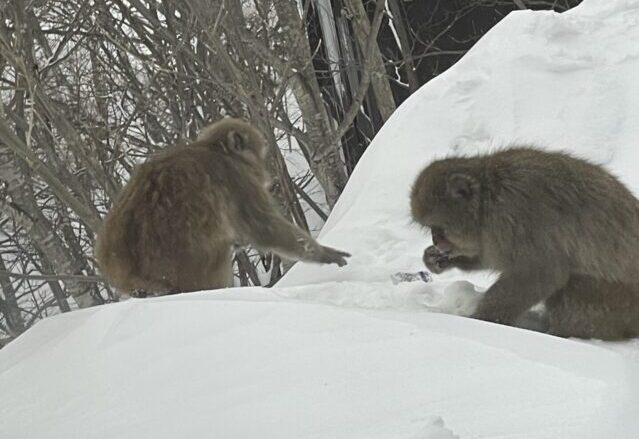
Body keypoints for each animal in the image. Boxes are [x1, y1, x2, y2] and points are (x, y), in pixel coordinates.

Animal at [96, 117, 350, 298]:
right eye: (258, 153)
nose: (268, 174)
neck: (215, 150)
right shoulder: (237, 181)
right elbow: (265, 228)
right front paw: (325, 253)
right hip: (186, 270)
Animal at [410, 147, 639, 340]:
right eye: (430, 229)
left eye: (439, 228)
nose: (436, 240)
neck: (487, 200)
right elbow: (490, 257)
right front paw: (435, 258)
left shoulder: (515, 219)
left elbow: (539, 273)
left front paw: (481, 320)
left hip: (614, 302)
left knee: (571, 289)